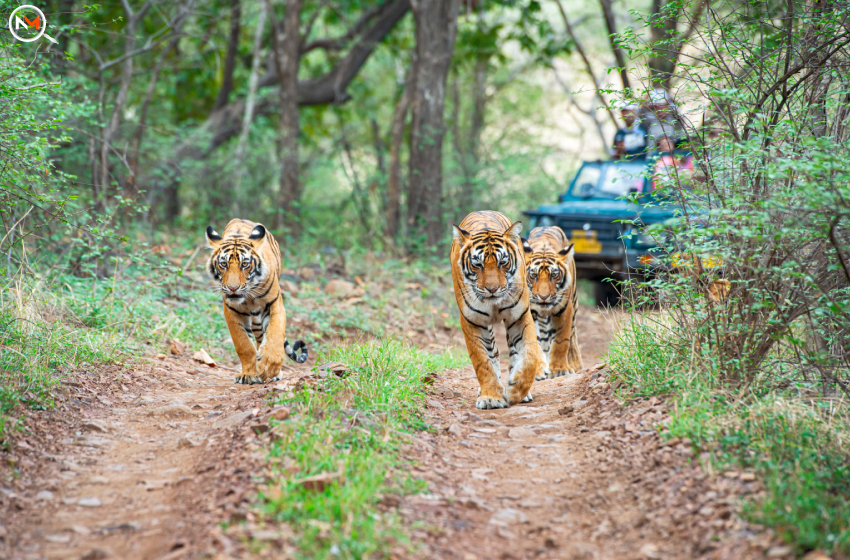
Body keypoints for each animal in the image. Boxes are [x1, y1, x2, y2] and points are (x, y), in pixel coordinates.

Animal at [205, 220, 308, 384]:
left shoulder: (275, 304)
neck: (248, 295)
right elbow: (244, 344)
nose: (233, 288)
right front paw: (249, 374)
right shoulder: (231, 310)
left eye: (245, 264)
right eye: (223, 264)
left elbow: (275, 333)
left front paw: (269, 365)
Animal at [450, 209, 544, 406]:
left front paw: (516, 390)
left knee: (514, 353)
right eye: (477, 264)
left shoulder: (520, 316)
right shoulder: (472, 321)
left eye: (503, 263)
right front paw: (491, 397)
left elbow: (530, 355)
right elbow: (482, 362)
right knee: (493, 354)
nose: (492, 289)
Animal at [520, 226, 580, 380]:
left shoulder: (565, 309)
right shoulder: (529, 311)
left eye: (554, 275)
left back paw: (575, 364)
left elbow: (561, 341)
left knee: (572, 336)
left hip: (574, 302)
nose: (543, 296)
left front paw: (559, 369)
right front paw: (538, 370)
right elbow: (535, 341)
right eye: (533, 275)